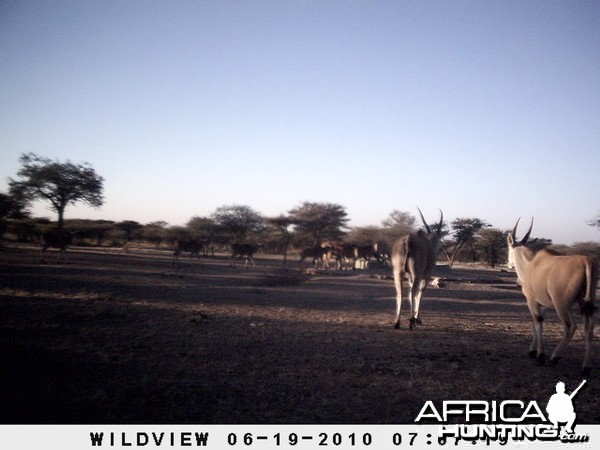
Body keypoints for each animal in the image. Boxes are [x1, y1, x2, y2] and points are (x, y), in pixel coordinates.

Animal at [506, 220, 596, 374]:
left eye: (508, 249)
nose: (509, 264)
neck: (531, 265)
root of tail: (586, 261)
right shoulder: (543, 305)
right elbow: (537, 324)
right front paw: (533, 351)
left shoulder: (532, 301)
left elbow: (538, 323)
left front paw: (539, 356)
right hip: (585, 304)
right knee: (588, 330)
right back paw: (586, 367)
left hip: (562, 305)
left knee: (570, 326)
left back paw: (555, 357)